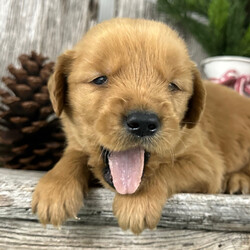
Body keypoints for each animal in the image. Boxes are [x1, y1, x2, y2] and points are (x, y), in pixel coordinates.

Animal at [32, 18, 250, 234]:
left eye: (173, 85)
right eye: (100, 79)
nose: (143, 123)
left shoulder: (206, 162)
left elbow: (165, 169)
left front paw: (137, 203)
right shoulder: (77, 143)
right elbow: (73, 155)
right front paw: (55, 187)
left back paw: (239, 180)